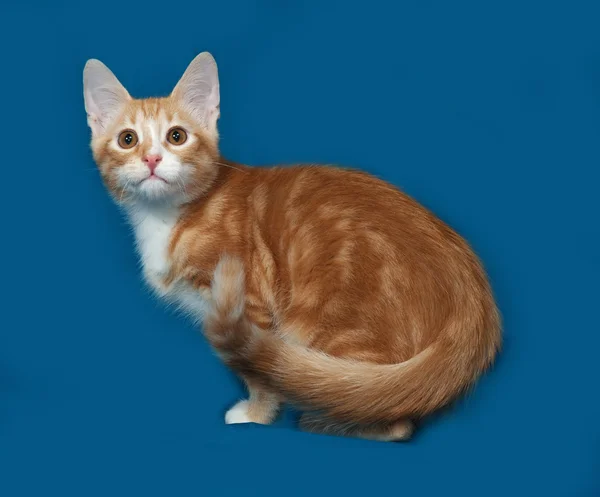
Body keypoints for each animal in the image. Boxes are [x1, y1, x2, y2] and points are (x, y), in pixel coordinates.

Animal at [83, 52, 502, 440]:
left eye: (176, 136)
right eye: (127, 140)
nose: (152, 159)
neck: (167, 218)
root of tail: (473, 297)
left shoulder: (249, 303)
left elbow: (259, 373)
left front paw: (257, 414)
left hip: (330, 324)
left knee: (392, 418)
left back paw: (327, 420)